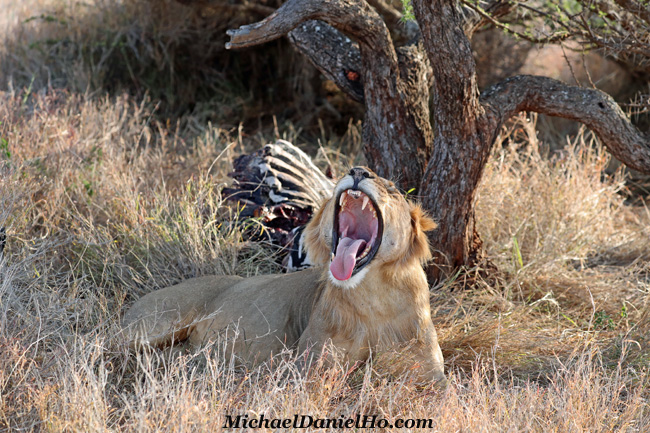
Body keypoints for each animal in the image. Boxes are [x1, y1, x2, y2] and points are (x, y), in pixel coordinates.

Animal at [121, 165, 446, 382]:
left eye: (392, 190)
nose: (357, 170)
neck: (375, 297)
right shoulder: (307, 369)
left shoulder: (432, 375)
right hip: (149, 327)